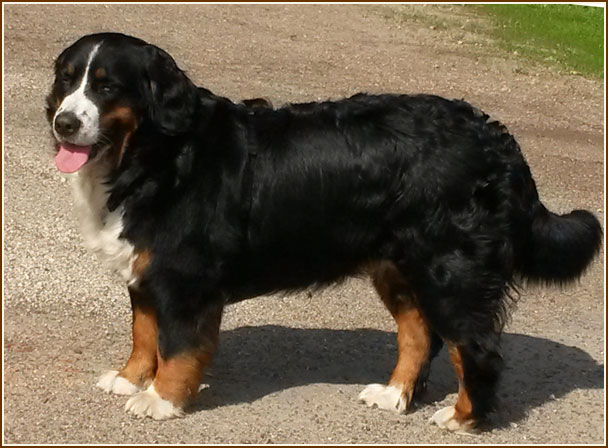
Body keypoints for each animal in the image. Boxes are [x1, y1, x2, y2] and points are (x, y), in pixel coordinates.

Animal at [46, 32, 601, 430]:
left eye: (107, 87)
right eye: (67, 81)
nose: (63, 122)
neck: (154, 156)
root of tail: (497, 141)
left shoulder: (185, 278)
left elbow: (177, 347)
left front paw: (160, 398)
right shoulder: (146, 270)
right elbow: (144, 333)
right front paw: (129, 379)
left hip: (453, 271)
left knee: (475, 348)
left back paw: (465, 418)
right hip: (399, 268)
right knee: (420, 334)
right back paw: (394, 394)